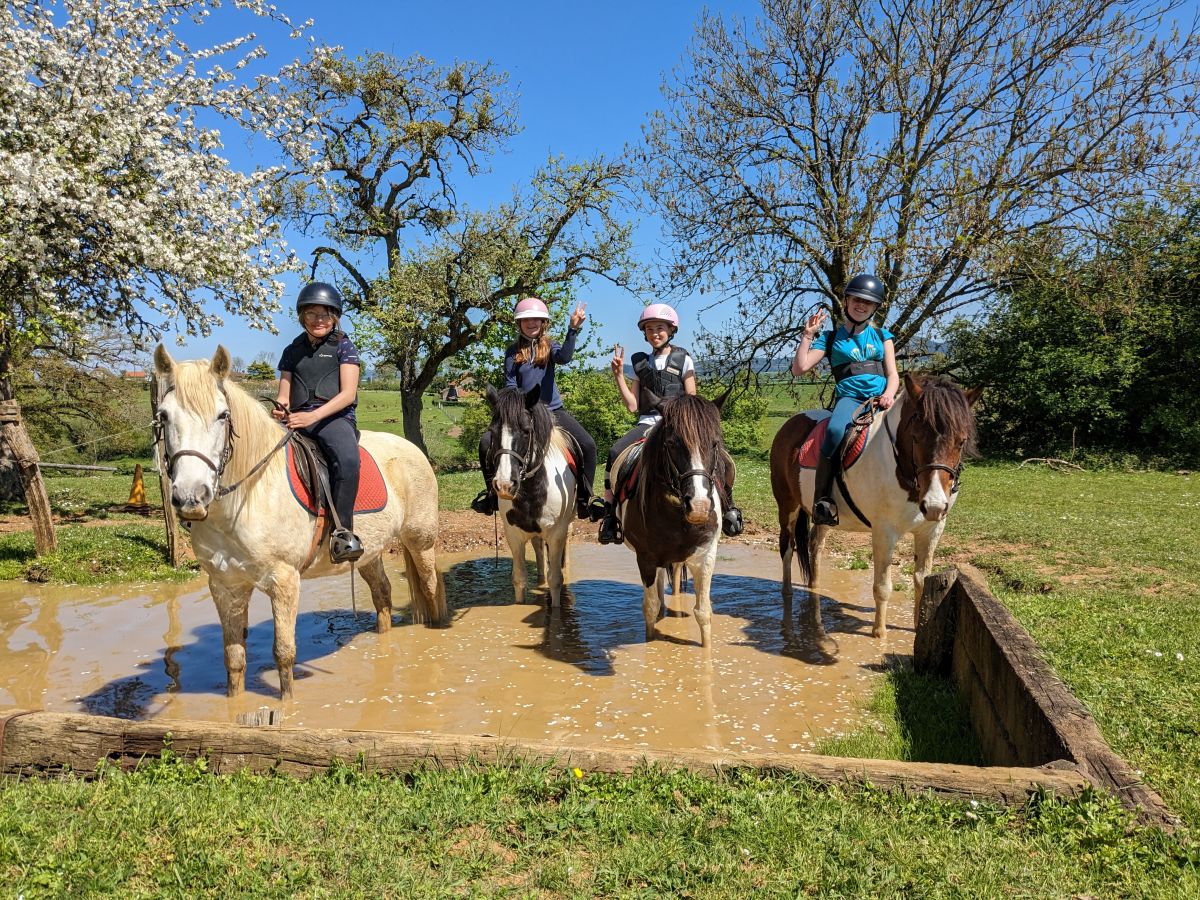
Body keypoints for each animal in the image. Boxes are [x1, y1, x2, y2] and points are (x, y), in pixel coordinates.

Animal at [487, 384, 580, 609]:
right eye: (492, 431)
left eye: (526, 431)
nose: (505, 485)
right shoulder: (514, 535)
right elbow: (519, 578)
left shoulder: (556, 533)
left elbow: (556, 580)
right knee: (538, 550)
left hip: (568, 525)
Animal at [619, 393, 729, 648]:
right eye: (671, 444)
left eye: (715, 443)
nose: (699, 507)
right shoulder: (646, 558)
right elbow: (650, 608)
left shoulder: (705, 555)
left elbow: (703, 612)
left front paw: (706, 653)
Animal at [772, 374, 979, 648]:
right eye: (916, 437)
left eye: (961, 441)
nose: (934, 504)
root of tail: (791, 422)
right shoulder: (884, 531)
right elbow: (882, 586)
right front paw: (879, 634)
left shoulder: (932, 529)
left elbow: (921, 581)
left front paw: (918, 628)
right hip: (787, 506)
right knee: (787, 548)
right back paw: (786, 594)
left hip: (823, 515)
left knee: (815, 545)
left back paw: (814, 587)